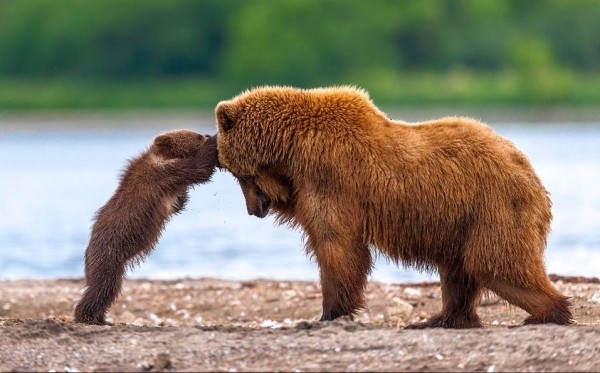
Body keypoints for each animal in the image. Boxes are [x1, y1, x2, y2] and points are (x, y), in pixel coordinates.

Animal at [216, 85, 572, 326]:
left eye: (236, 173)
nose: (253, 209)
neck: (292, 146)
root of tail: (531, 173)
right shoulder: (306, 184)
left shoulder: (331, 177)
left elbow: (336, 246)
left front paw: (329, 312)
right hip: (461, 221)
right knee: (459, 271)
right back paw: (441, 318)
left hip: (493, 207)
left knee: (495, 263)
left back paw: (545, 311)